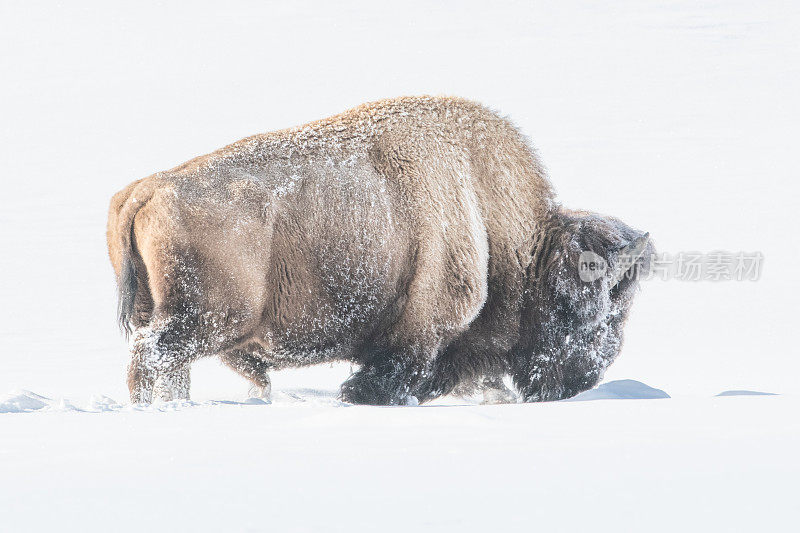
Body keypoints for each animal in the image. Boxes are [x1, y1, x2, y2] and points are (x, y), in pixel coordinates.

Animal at [108, 95, 648, 404]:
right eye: (578, 307)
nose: (582, 379)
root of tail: (147, 188)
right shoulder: (423, 330)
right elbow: (401, 372)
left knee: (166, 365)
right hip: (207, 319)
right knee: (152, 356)